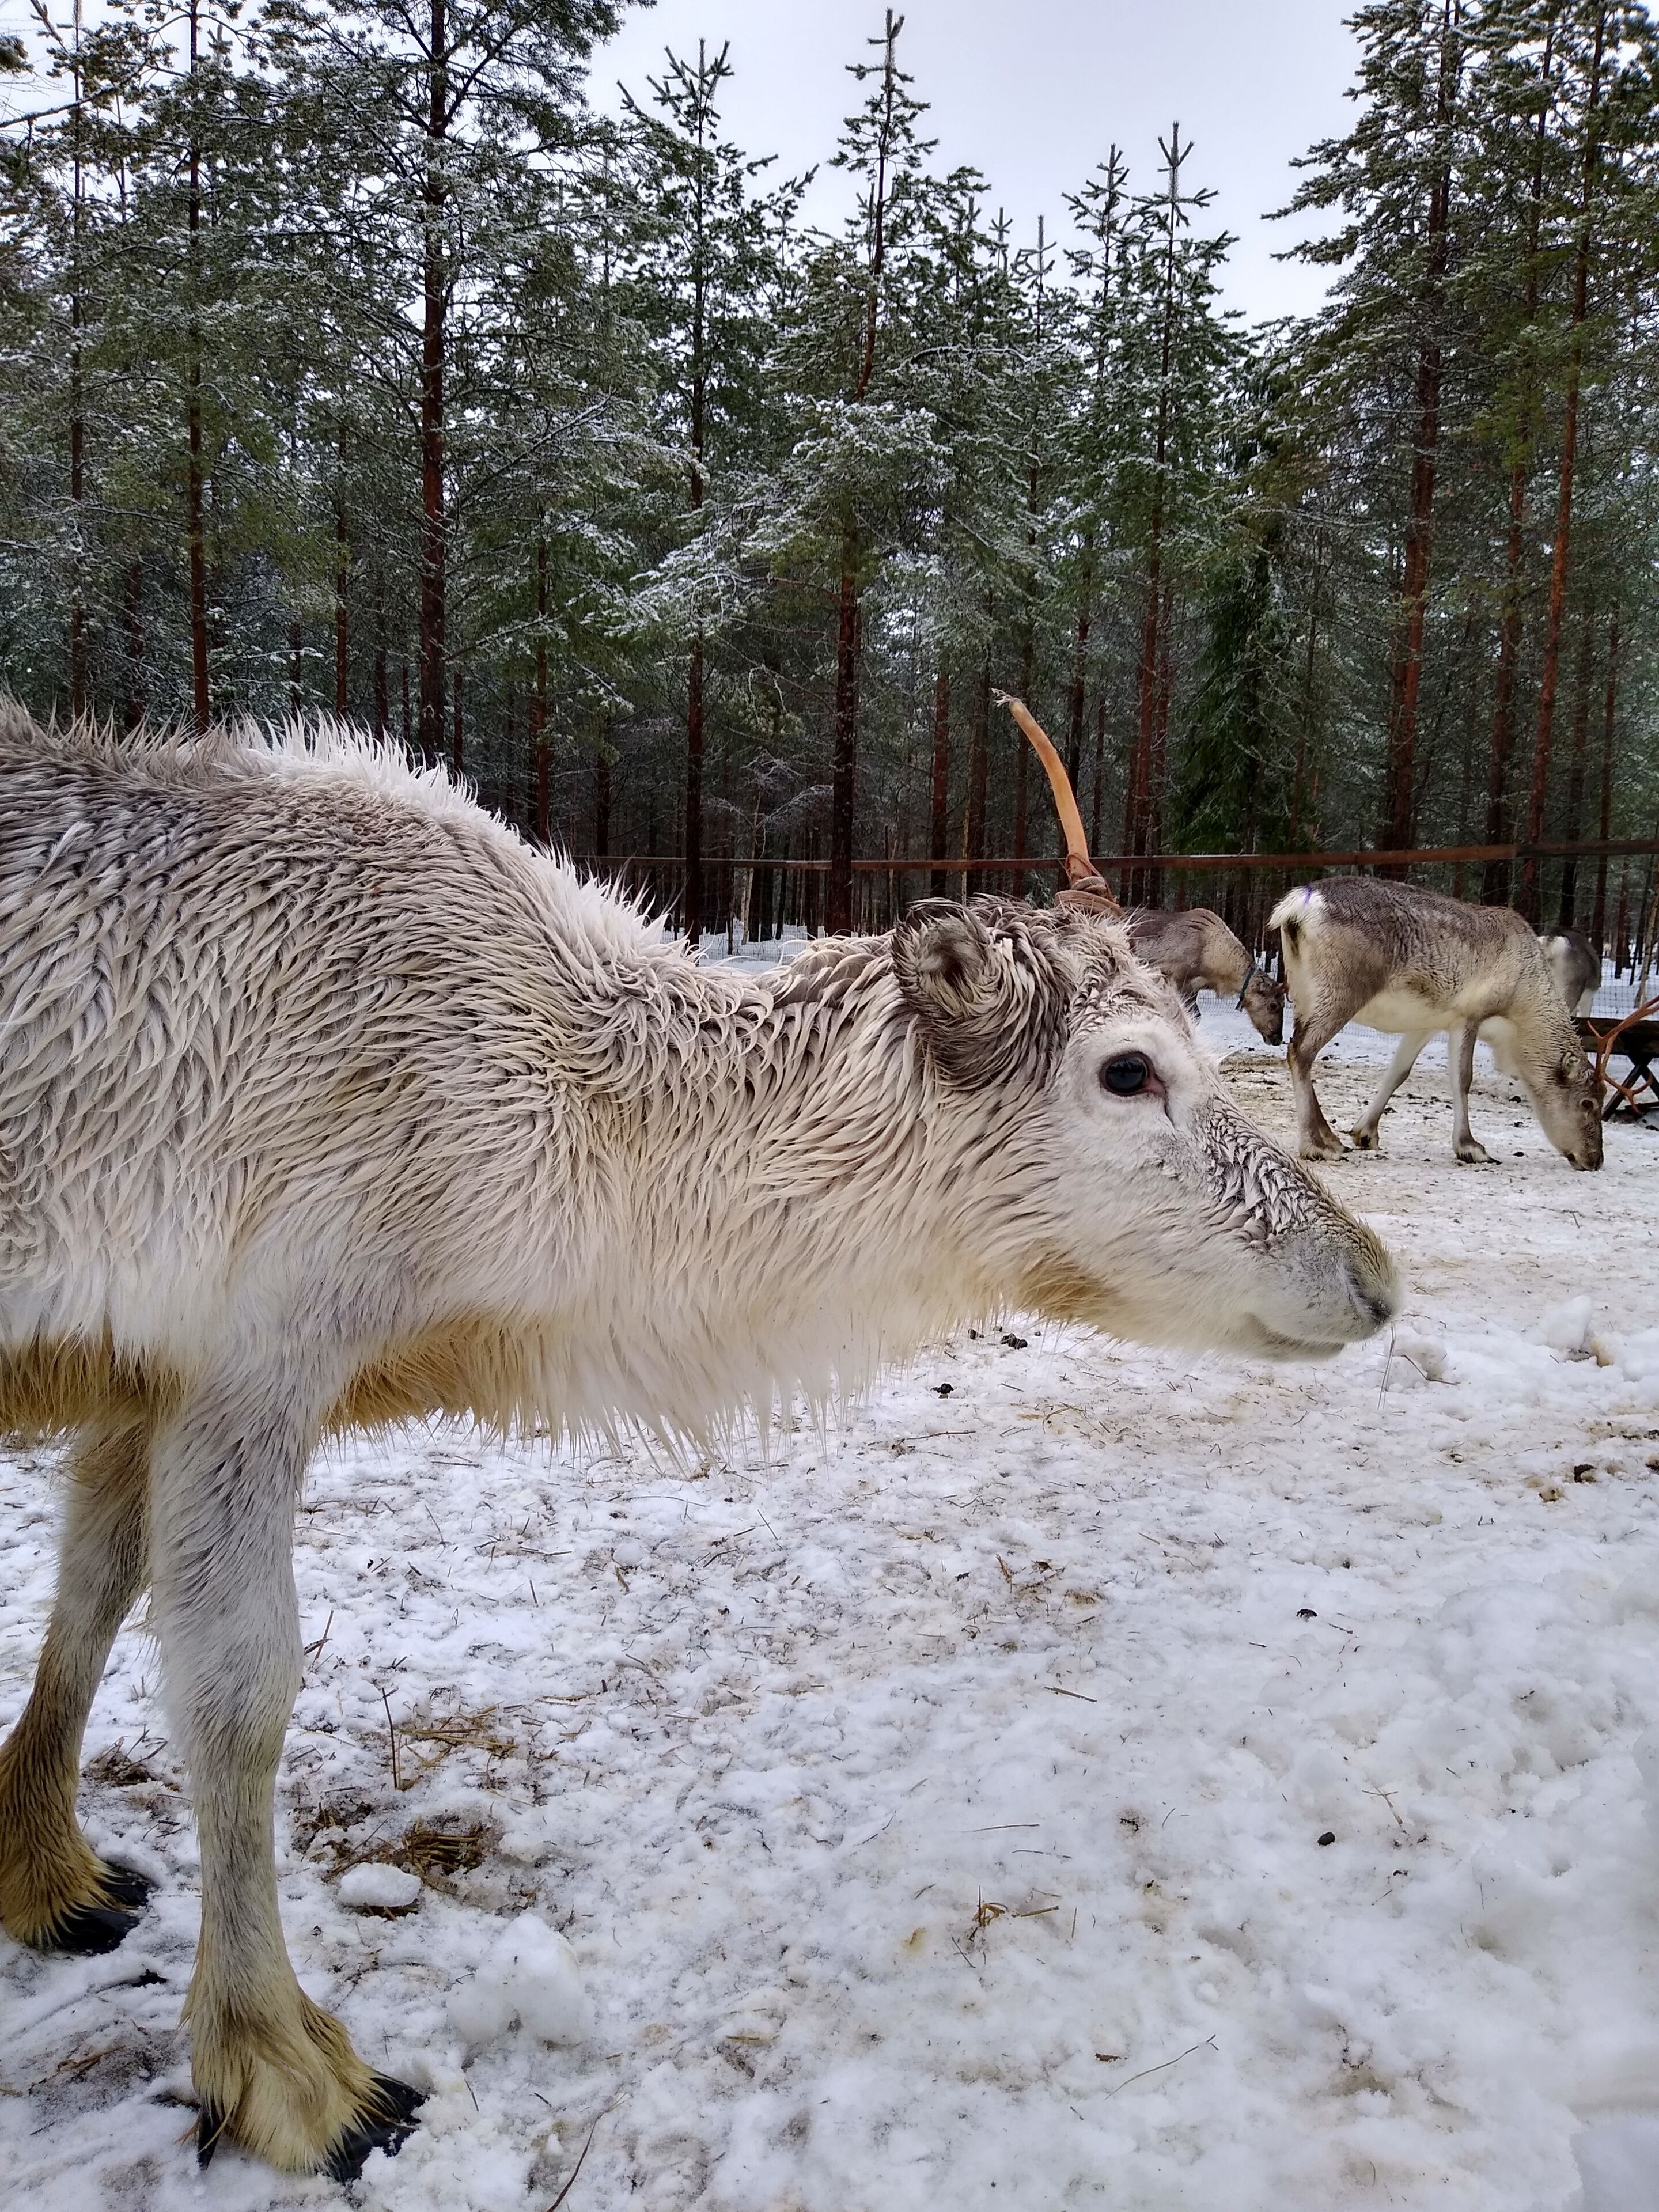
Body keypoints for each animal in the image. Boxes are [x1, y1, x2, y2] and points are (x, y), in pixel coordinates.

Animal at [1270, 876, 1603, 1170]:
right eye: (1588, 1103)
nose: (1595, 1160)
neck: (1516, 1020)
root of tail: (1295, 907)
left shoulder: (1427, 1023)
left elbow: (1398, 1072)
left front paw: (1365, 1133)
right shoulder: (1468, 1015)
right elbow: (1463, 1079)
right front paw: (1471, 1148)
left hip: (1302, 991)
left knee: (1300, 1048)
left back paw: (1331, 1138)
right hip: (1340, 990)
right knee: (1301, 1050)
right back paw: (1316, 1145)